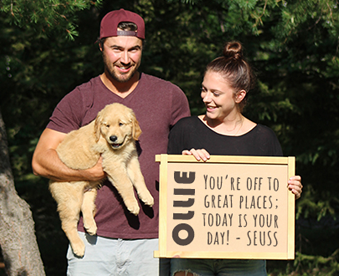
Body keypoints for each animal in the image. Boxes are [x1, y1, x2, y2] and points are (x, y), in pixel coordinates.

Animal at [48, 103, 154, 256]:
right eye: (107, 125)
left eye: (121, 124)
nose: (113, 138)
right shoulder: (113, 164)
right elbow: (126, 183)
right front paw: (133, 204)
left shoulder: (131, 159)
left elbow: (139, 178)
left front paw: (146, 196)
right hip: (70, 199)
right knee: (67, 223)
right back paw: (78, 246)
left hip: (89, 190)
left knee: (86, 206)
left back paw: (90, 225)